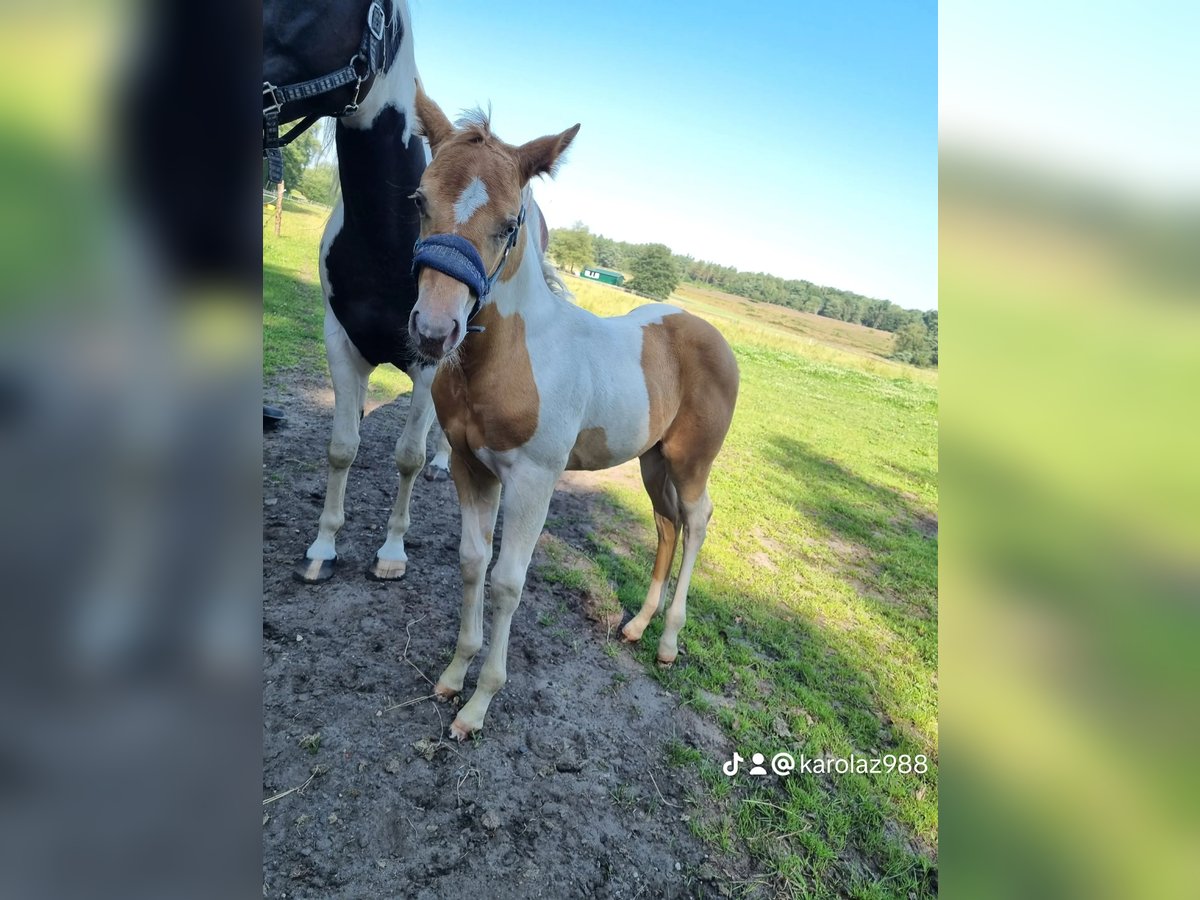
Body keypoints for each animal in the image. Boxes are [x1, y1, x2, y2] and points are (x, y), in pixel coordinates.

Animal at [262, 0, 451, 585]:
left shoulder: (431, 362)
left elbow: (409, 455)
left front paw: (392, 551)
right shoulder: (343, 344)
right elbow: (342, 447)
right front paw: (322, 548)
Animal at [408, 90, 734, 739]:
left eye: (509, 223)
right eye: (420, 199)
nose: (433, 332)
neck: (508, 356)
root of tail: (711, 332)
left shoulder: (534, 479)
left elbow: (507, 581)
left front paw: (479, 705)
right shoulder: (469, 466)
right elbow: (472, 563)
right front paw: (453, 677)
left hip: (690, 462)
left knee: (697, 520)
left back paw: (668, 641)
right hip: (651, 461)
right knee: (666, 524)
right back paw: (636, 626)